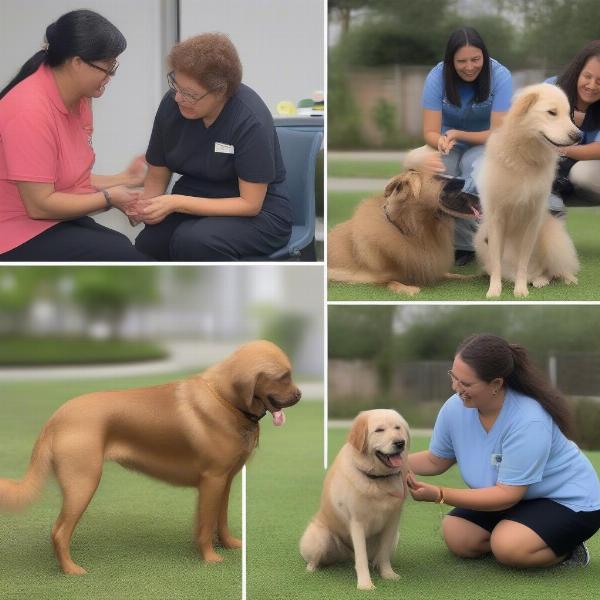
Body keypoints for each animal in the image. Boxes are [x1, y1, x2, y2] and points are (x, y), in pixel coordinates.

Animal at [0, 340, 300, 576]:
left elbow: (221, 520)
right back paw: (70, 570)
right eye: (283, 376)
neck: (226, 400)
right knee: (59, 531)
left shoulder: (225, 481)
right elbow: (205, 525)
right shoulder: (212, 480)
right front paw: (210, 558)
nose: (299, 394)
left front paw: (229, 545)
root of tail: (57, 416)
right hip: (83, 483)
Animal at [302, 408, 410, 592]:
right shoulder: (357, 522)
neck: (377, 480)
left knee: (375, 557)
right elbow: (361, 558)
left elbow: (384, 554)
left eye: (398, 428)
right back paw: (312, 568)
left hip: (396, 536)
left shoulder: (392, 522)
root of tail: (346, 555)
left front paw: (388, 574)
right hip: (320, 537)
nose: (400, 443)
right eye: (379, 430)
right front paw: (365, 584)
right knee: (317, 558)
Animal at [326, 171, 480, 296]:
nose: (466, 181)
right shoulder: (367, 277)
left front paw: (470, 277)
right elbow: (390, 281)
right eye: (438, 178)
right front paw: (409, 289)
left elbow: (450, 274)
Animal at [474, 83, 580, 298]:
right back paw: (538, 280)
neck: (524, 157)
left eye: (569, 114)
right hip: (481, 239)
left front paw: (520, 290)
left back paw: (564, 279)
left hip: (554, 239)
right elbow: (496, 262)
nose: (579, 136)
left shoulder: (532, 219)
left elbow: (523, 263)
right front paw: (494, 290)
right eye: (552, 113)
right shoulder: (496, 220)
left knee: (555, 269)